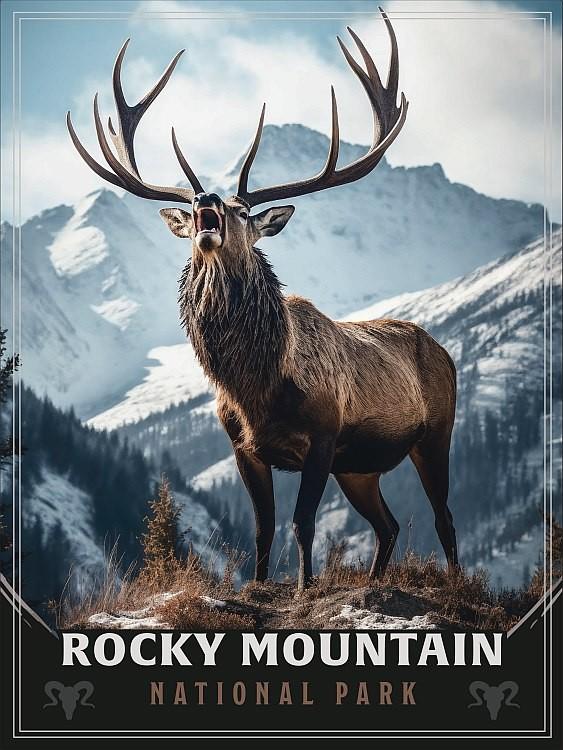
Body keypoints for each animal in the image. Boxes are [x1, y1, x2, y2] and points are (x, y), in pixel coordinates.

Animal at [67, 7, 458, 592]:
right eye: (201, 209)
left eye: (241, 211)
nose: (205, 199)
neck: (257, 388)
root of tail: (444, 352)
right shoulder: (244, 448)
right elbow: (262, 527)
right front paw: (256, 584)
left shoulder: (324, 436)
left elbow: (301, 522)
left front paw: (304, 586)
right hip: (360, 467)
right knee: (388, 525)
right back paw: (372, 582)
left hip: (434, 433)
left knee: (443, 518)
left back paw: (456, 582)